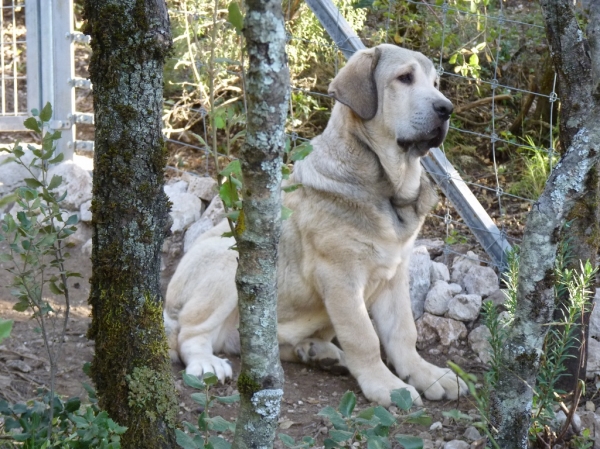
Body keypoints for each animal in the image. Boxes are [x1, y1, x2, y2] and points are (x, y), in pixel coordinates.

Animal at [165, 43, 468, 404]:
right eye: (404, 78)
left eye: (436, 84)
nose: (447, 109)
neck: (387, 186)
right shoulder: (339, 276)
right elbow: (364, 337)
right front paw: (388, 387)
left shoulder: (394, 275)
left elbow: (403, 332)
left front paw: (427, 374)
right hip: (226, 260)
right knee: (189, 334)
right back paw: (207, 363)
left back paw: (318, 352)